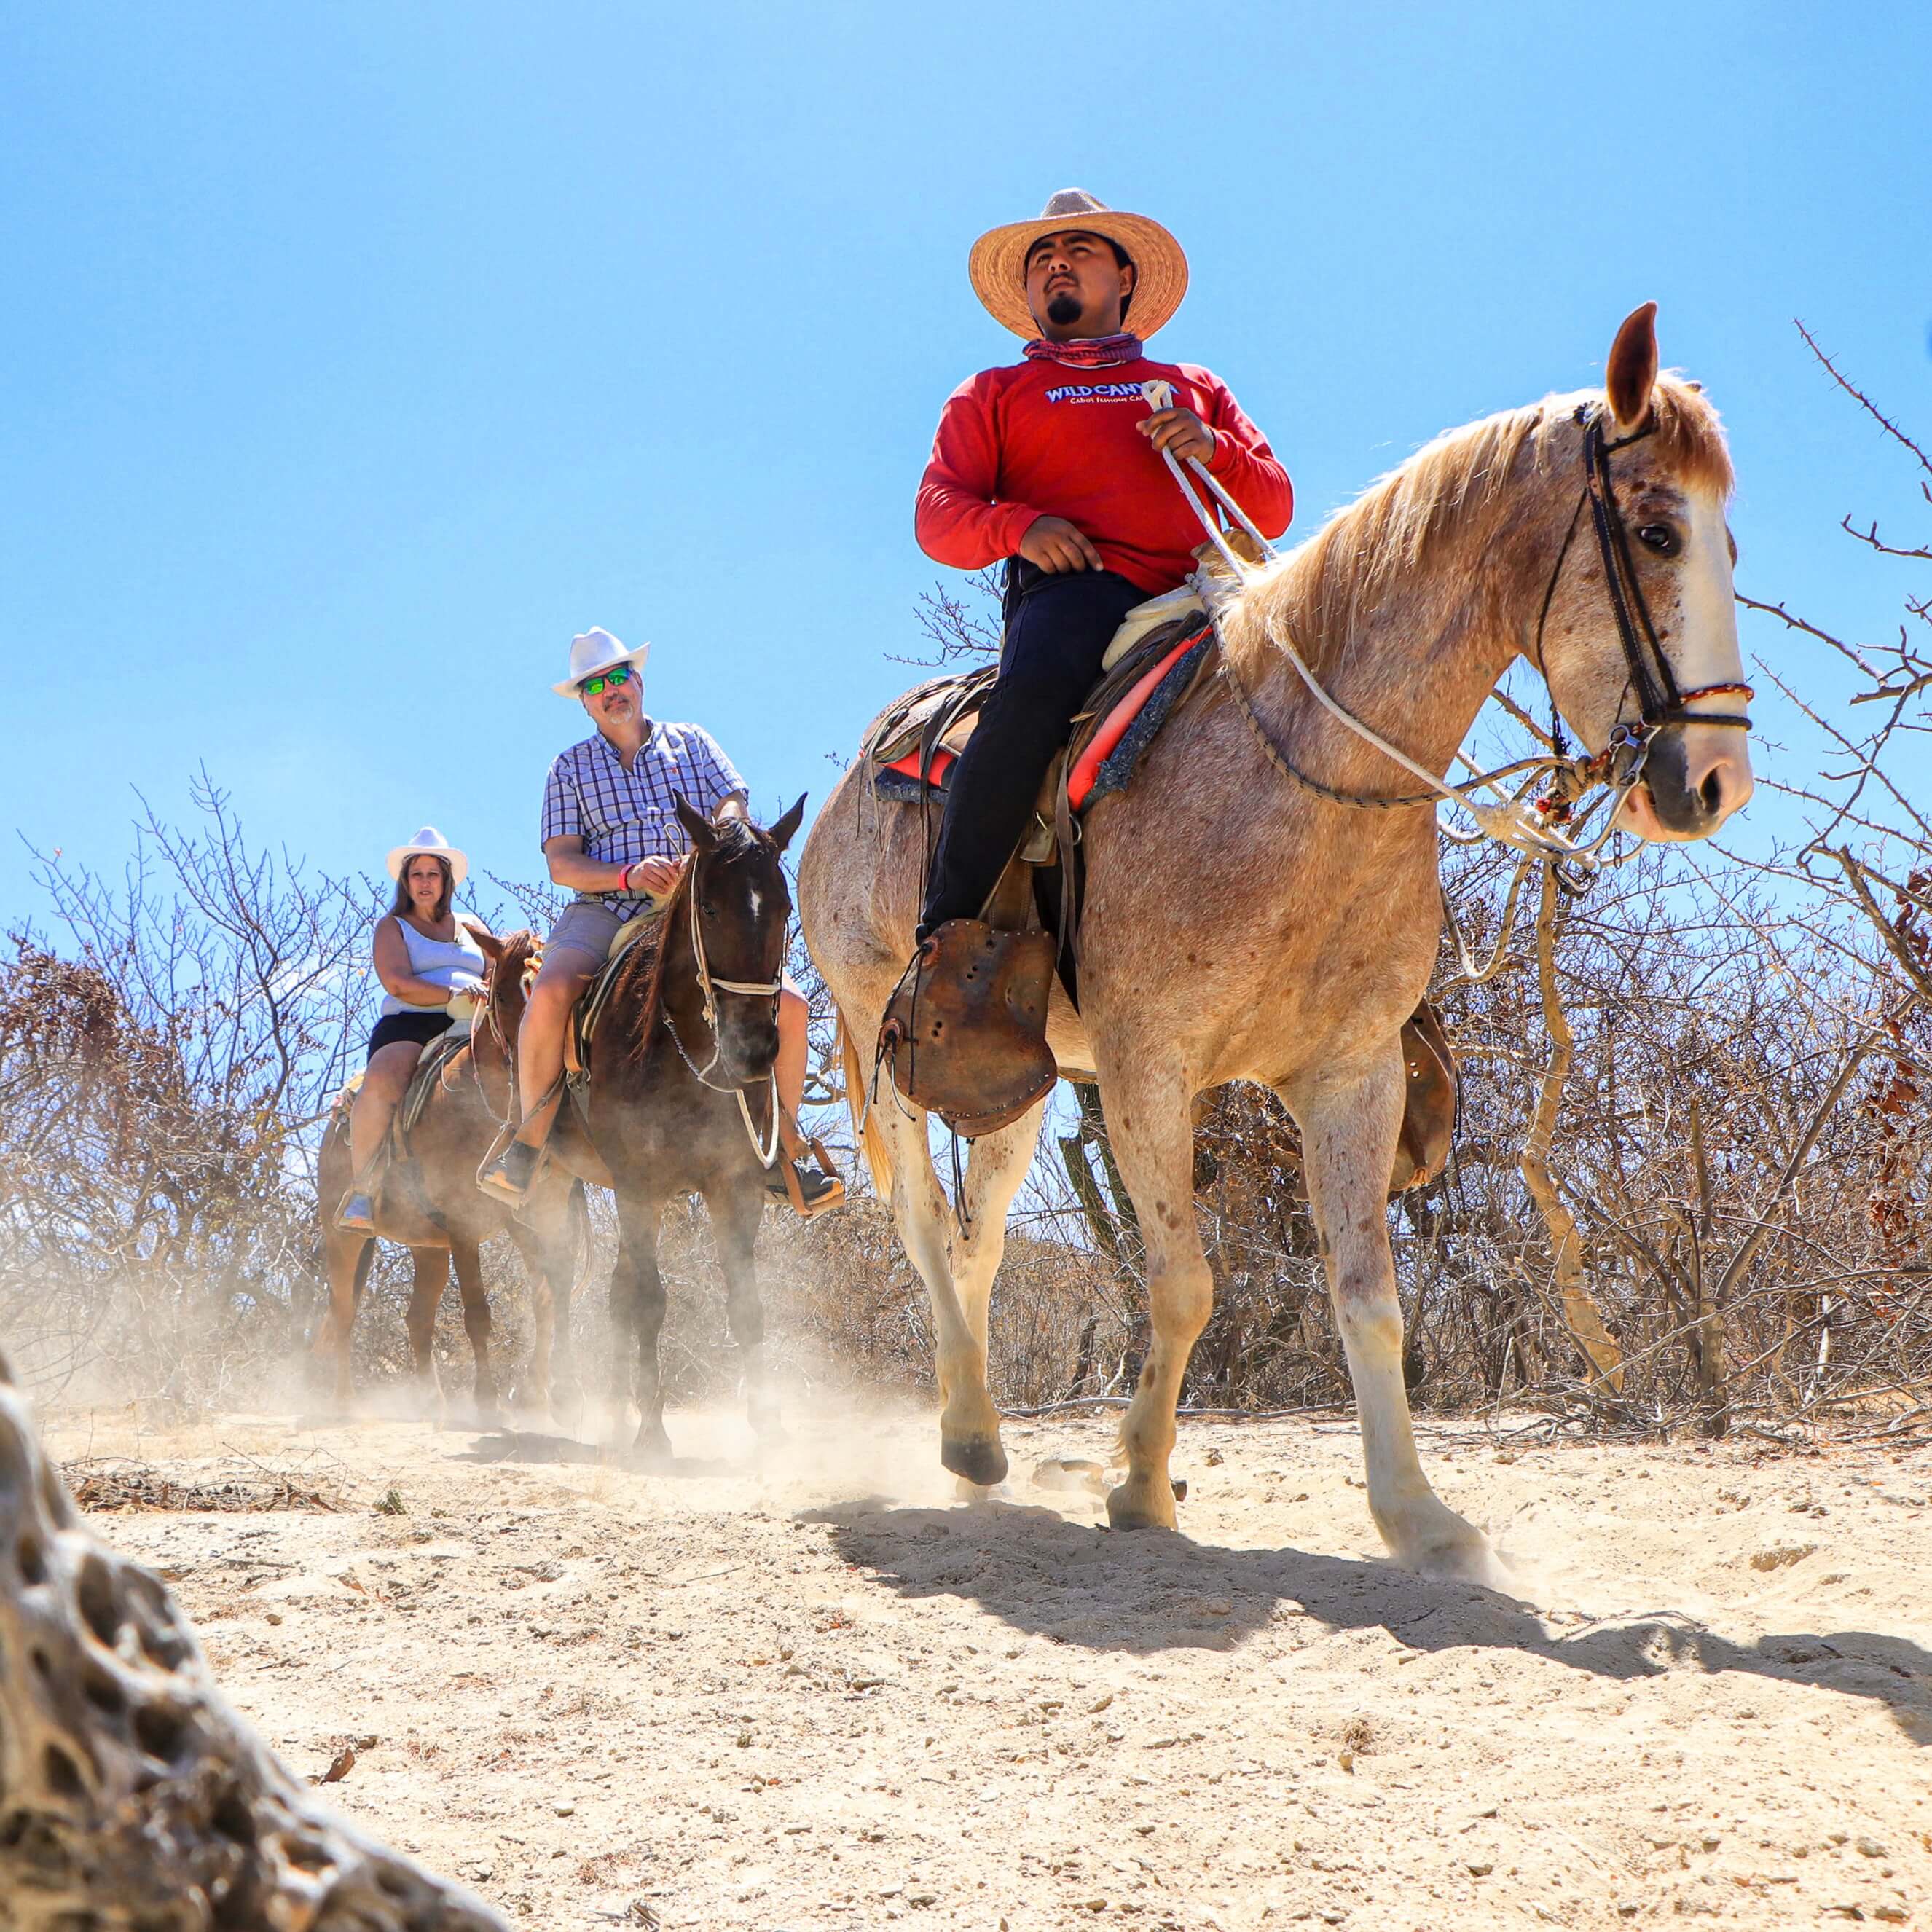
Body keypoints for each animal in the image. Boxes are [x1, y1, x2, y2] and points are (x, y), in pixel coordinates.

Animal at [313, 927, 583, 1429]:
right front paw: (488, 1401)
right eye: (502, 994)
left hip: (428, 1247)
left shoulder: (528, 1218)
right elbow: (478, 1312)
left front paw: (548, 1395)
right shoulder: (463, 1225)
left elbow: (547, 1296)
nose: (534, 1064)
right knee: (343, 1310)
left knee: (417, 1318)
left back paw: (431, 1403)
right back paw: (343, 1402)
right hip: (343, 1236)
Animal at [517, 792, 804, 1453]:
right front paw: (653, 1431)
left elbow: (744, 1303)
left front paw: (768, 1423)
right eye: (711, 907)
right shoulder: (638, 1186)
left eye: (783, 907)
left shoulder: (735, 1185)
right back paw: (571, 1397)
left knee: (611, 1289)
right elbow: (650, 1300)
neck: (685, 1051)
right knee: (559, 1276)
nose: (755, 1051)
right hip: (556, 1180)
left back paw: (614, 1410)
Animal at [792, 309, 1762, 1584]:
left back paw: (983, 1439)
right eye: (1655, 531)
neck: (1299, 775)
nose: (1713, 782)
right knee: (916, 1219)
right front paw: (1140, 1484)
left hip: (1015, 1087)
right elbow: (1183, 1285)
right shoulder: (1151, 1073)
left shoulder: (1350, 1076)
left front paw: (1416, 1514)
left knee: (976, 1241)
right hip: (883, 1039)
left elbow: (1369, 1300)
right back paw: (965, 1438)